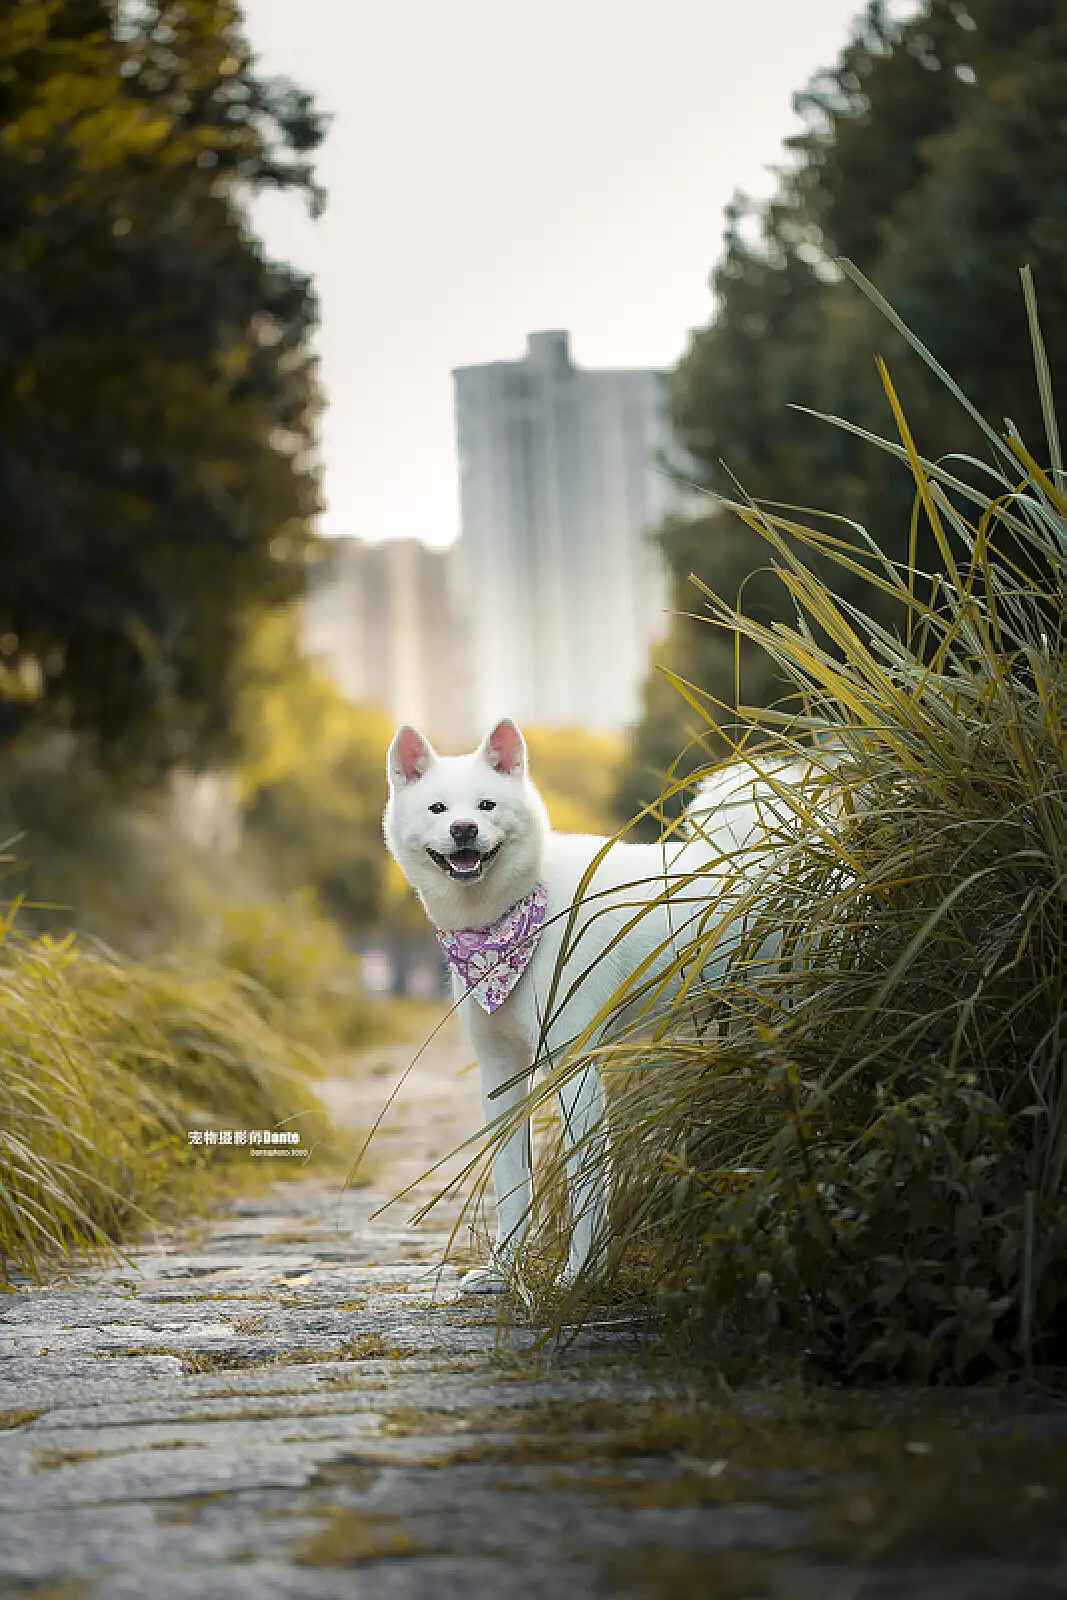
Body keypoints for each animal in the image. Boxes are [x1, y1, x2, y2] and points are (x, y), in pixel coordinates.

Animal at [383, 720, 819, 1292]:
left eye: (486, 804)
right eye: (438, 808)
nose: (463, 830)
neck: (513, 918)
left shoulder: (575, 1068)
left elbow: (586, 1184)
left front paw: (580, 1276)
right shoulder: (500, 1073)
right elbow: (511, 1183)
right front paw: (503, 1270)